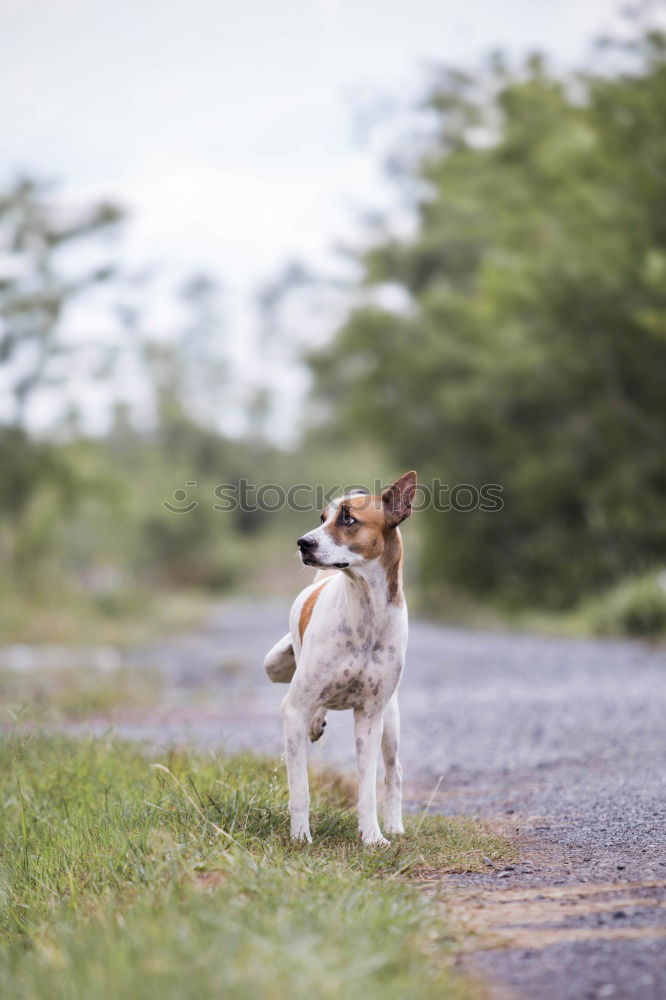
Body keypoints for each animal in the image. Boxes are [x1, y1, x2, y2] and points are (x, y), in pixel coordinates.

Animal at [260, 470, 412, 844]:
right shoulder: (293, 709)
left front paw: (373, 838)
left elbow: (368, 788)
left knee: (395, 771)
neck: (364, 610)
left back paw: (395, 825)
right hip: (275, 665)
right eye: (322, 518)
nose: (303, 543)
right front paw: (300, 837)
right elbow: (300, 788)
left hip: (391, 720)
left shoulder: (370, 717)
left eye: (348, 519)